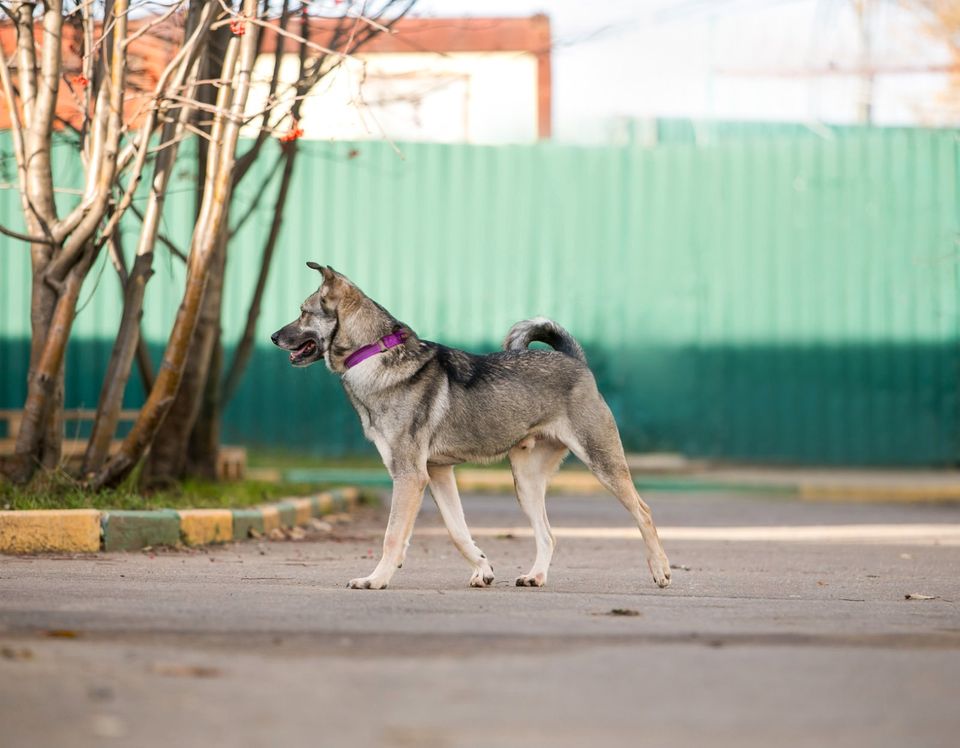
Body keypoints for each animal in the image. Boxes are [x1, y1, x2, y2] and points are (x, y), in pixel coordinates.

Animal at [274, 262, 672, 592]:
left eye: (303, 312)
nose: (274, 337)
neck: (373, 351)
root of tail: (575, 360)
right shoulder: (437, 473)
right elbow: (457, 531)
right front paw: (483, 568)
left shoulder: (409, 476)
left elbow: (392, 535)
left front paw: (376, 579)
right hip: (525, 482)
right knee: (548, 534)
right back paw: (536, 576)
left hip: (602, 461)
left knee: (644, 511)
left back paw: (661, 570)